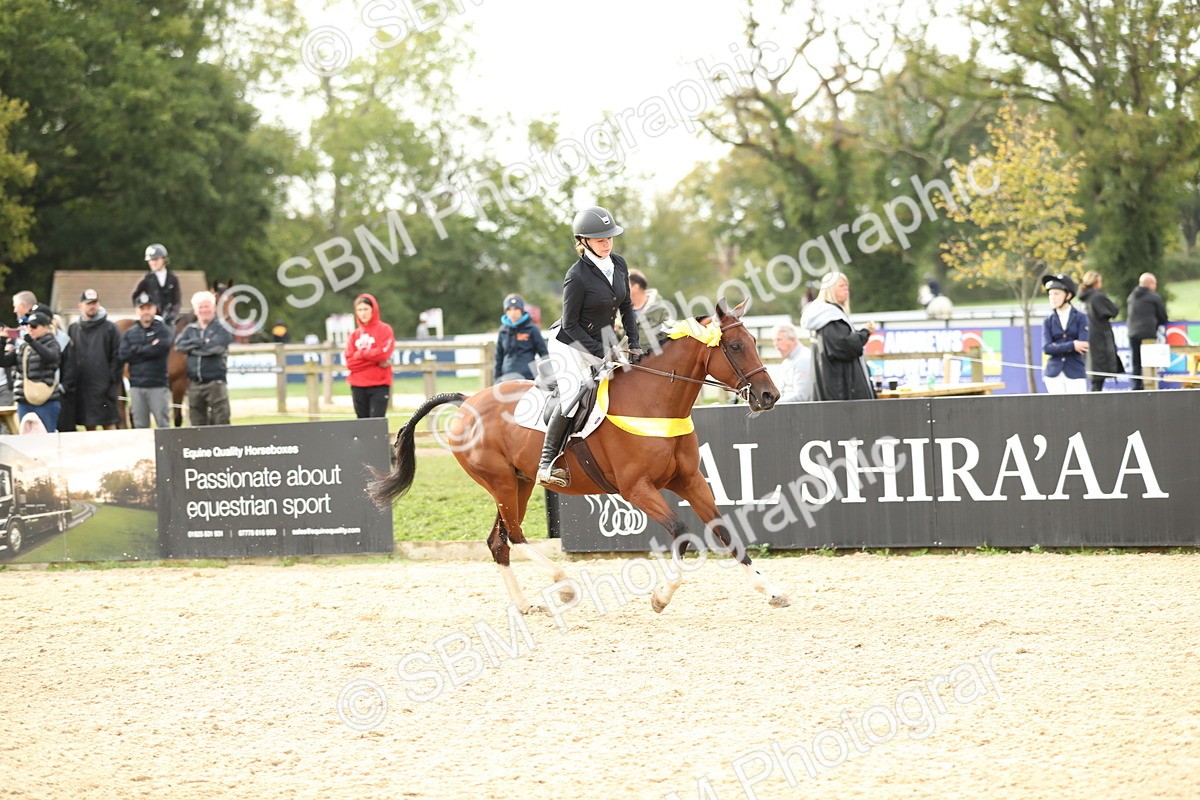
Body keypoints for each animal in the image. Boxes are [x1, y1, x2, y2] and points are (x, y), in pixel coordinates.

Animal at [368, 298, 792, 615]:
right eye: (735, 346)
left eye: (754, 341)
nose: (770, 396)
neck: (655, 402)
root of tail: (468, 400)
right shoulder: (637, 489)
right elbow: (682, 533)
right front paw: (661, 597)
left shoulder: (690, 481)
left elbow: (726, 533)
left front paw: (771, 591)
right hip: (501, 482)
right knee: (515, 536)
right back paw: (565, 585)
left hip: (519, 482)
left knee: (499, 541)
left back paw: (525, 605)